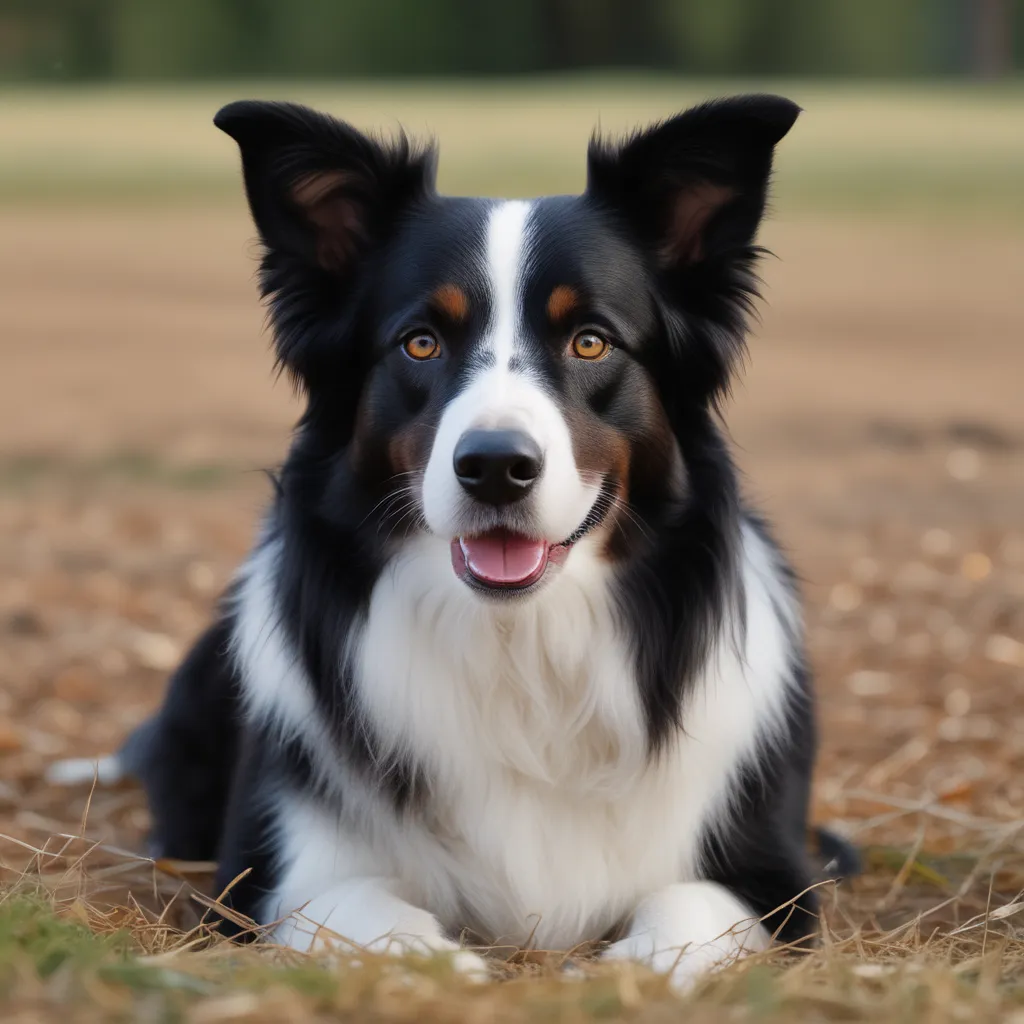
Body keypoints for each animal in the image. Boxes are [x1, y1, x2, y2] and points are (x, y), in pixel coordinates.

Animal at [51, 96, 860, 983]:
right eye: (421, 341)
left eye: (590, 340)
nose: (496, 467)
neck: (520, 647)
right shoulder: (270, 874)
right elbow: (367, 913)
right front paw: (451, 969)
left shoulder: (771, 879)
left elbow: (684, 912)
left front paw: (607, 973)